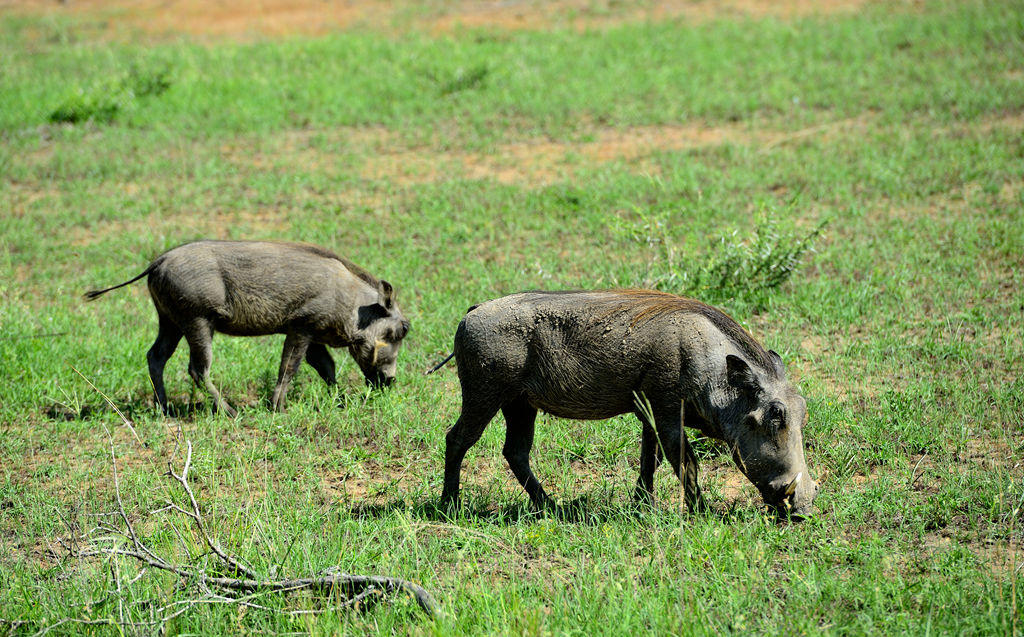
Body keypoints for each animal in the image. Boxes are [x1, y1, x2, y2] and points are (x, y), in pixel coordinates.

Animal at [84, 240, 409, 416]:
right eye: (400, 331)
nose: (390, 382)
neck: (354, 305)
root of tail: (157, 261)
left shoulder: (311, 333)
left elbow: (326, 367)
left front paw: (339, 401)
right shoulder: (302, 328)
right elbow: (289, 368)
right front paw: (278, 409)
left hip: (170, 321)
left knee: (156, 357)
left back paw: (163, 409)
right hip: (197, 322)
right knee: (197, 369)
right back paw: (229, 412)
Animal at [434, 289, 817, 516]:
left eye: (803, 410)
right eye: (775, 415)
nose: (804, 509)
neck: (708, 367)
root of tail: (472, 311)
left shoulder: (649, 414)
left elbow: (651, 459)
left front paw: (642, 506)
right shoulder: (666, 411)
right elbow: (685, 462)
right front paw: (702, 513)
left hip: (519, 404)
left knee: (515, 452)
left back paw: (552, 508)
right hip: (484, 394)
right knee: (458, 439)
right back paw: (449, 506)